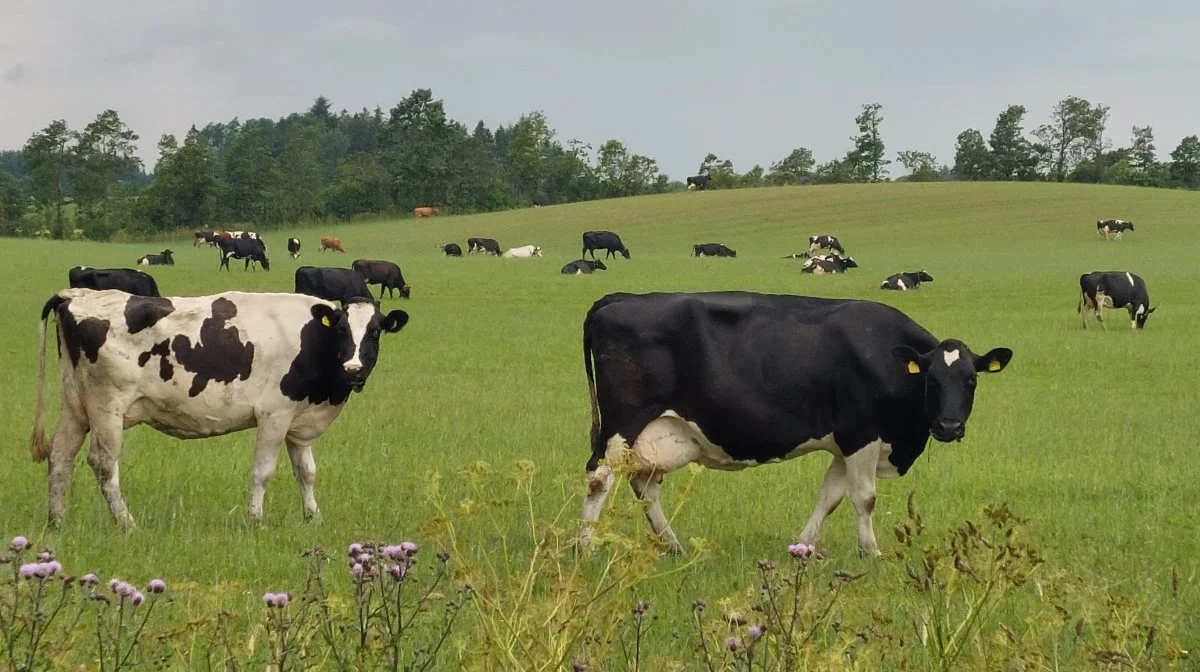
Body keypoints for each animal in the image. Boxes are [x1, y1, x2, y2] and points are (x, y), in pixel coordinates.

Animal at [29, 285, 412, 528]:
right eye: (343, 330)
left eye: (375, 331)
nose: (353, 369)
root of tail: (75, 294)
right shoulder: (274, 414)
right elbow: (263, 471)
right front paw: (255, 520)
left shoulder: (299, 421)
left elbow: (307, 472)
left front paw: (312, 518)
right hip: (107, 406)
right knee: (103, 463)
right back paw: (126, 523)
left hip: (76, 406)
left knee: (61, 457)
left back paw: (57, 521)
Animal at [578, 291, 1012, 554]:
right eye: (931, 380)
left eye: (971, 380)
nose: (949, 427)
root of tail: (620, 298)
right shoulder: (862, 435)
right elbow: (864, 498)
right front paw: (871, 551)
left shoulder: (843, 444)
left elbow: (830, 496)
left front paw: (802, 546)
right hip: (623, 423)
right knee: (600, 480)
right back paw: (585, 547)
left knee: (644, 486)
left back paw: (674, 547)